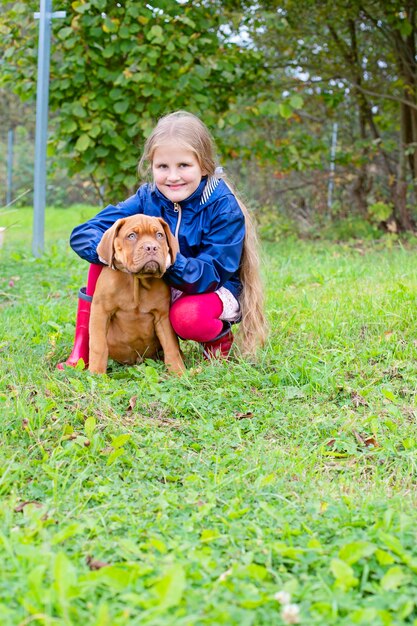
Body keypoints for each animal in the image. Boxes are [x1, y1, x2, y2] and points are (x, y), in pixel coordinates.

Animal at [88, 212, 184, 372]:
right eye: (132, 236)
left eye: (159, 235)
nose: (151, 247)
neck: (136, 281)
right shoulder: (100, 312)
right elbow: (98, 346)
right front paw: (96, 373)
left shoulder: (163, 317)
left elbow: (171, 346)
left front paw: (179, 372)